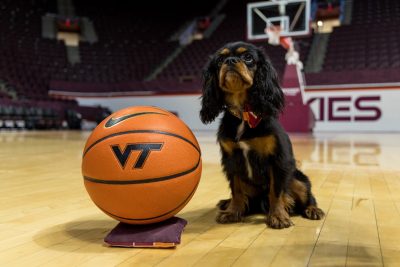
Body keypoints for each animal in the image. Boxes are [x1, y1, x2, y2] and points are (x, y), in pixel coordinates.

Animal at [198, 40, 324, 229]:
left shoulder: (277, 160)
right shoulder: (231, 160)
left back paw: (312, 209)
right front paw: (232, 212)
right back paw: (228, 204)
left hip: (297, 179)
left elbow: (276, 192)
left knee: (307, 195)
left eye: (248, 57)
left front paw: (278, 216)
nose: (230, 61)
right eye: (220, 60)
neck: (244, 113)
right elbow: (236, 190)